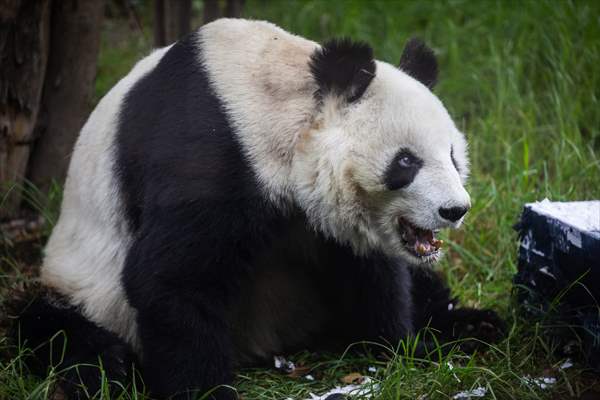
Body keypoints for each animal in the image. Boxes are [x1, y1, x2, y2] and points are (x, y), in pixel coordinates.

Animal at [11, 18, 504, 400]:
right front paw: (205, 390)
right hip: (84, 285)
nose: (455, 210)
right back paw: (104, 369)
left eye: (453, 156)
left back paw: (471, 326)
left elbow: (371, 273)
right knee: (53, 329)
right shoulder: (212, 148)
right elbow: (171, 277)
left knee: (428, 285)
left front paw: (402, 348)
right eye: (406, 162)